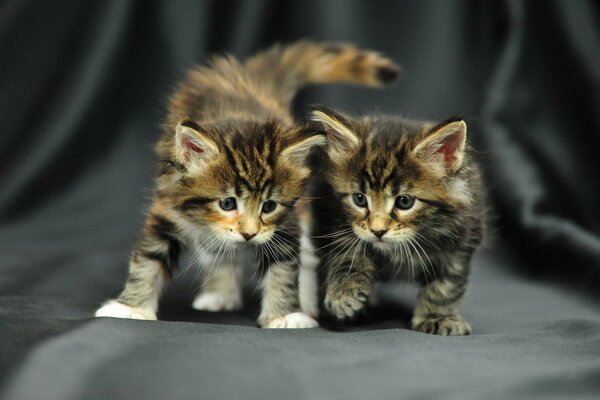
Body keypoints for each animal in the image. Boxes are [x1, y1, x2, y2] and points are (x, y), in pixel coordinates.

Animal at [95, 40, 398, 328]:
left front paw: (285, 315)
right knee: (217, 251)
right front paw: (130, 308)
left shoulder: (285, 222)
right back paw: (219, 294)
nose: (249, 235)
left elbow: (284, 268)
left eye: (269, 206)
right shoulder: (167, 207)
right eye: (227, 203)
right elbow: (148, 259)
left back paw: (307, 302)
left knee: (308, 257)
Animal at [310, 106, 488, 334]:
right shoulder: (337, 216)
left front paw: (438, 317)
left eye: (404, 202)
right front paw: (343, 292)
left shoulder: (462, 242)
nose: (377, 231)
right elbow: (348, 251)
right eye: (359, 199)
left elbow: (446, 286)